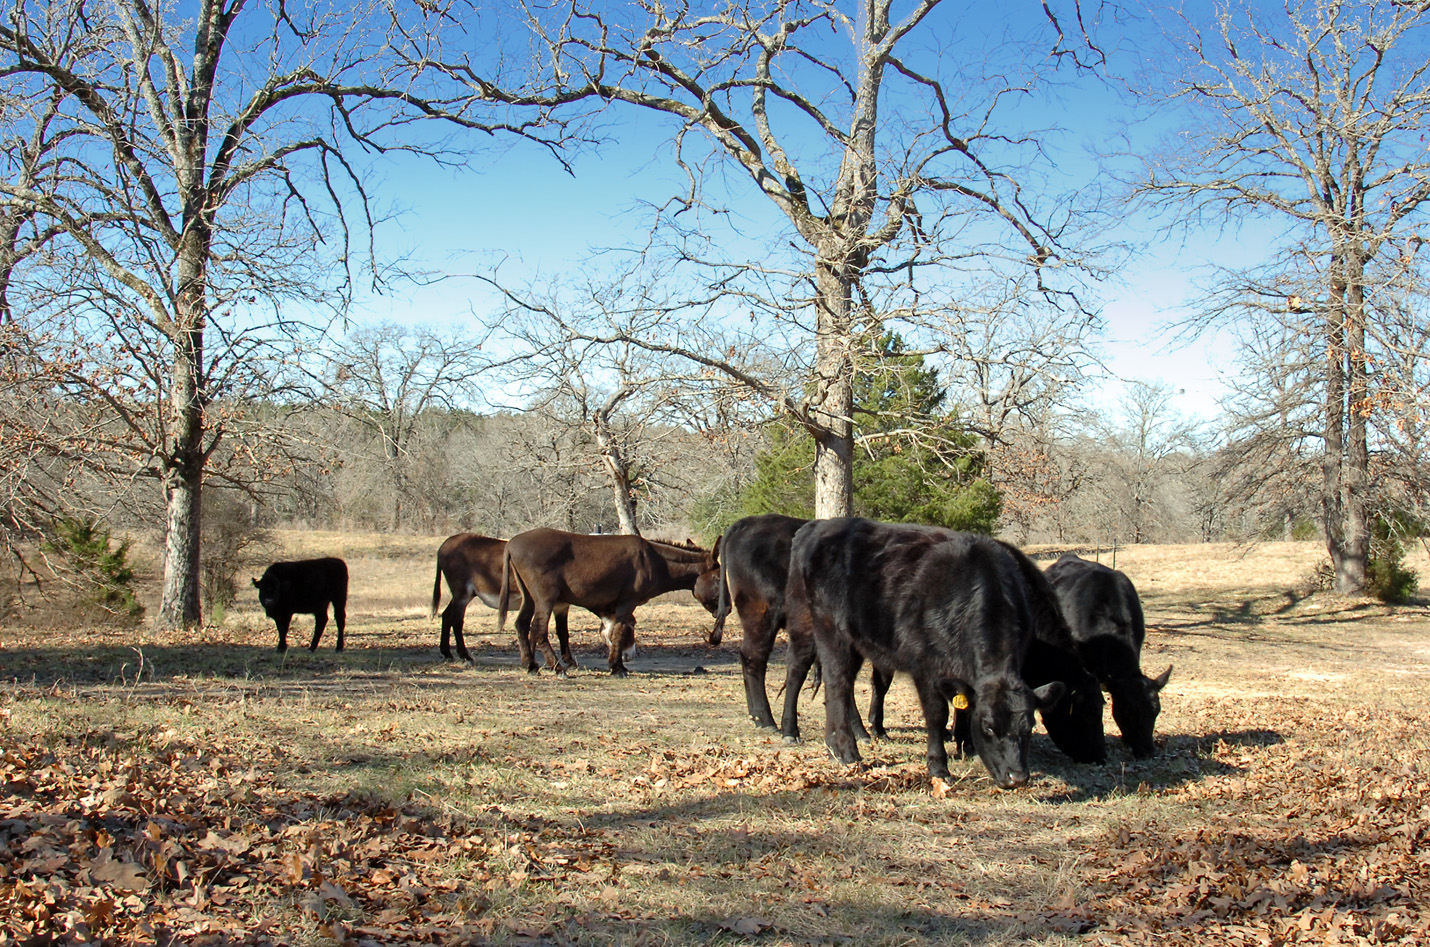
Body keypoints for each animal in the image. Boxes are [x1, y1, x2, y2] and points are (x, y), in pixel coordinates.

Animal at [431, 533, 570, 664]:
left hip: (462, 595)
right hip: (462, 595)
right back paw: (465, 656)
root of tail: (446, 543)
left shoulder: (559, 604)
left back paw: (447, 653)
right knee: (457, 621)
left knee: (446, 616)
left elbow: (561, 630)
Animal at [497, 528, 718, 677]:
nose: (721, 611)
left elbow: (614, 631)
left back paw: (531, 666)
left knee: (521, 624)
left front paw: (618, 665)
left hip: (529, 597)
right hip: (545, 598)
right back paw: (557, 668)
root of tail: (510, 544)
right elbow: (619, 631)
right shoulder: (627, 602)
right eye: (717, 579)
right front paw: (617, 667)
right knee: (538, 629)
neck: (655, 560)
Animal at [785, 518, 1064, 789]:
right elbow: (937, 715)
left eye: (1029, 727)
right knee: (824, 680)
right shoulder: (926, 667)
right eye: (988, 725)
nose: (1016, 777)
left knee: (842, 685)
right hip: (817, 625)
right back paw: (830, 745)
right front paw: (939, 767)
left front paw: (966, 747)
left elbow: (964, 707)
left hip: (855, 640)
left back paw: (840, 743)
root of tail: (817, 526)